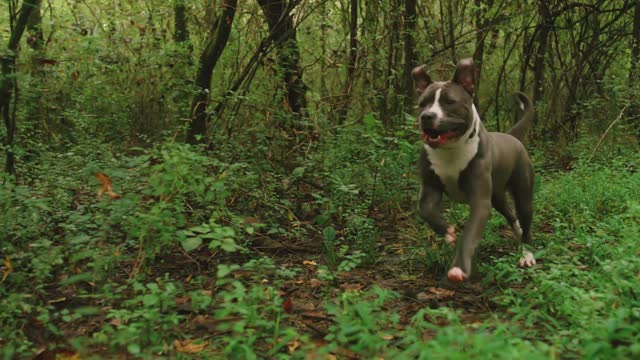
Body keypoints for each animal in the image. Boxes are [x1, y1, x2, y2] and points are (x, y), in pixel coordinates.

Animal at [410, 58, 536, 282]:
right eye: (422, 103)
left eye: (449, 102)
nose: (426, 116)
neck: (451, 150)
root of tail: (512, 137)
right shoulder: (430, 188)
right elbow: (425, 210)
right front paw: (447, 232)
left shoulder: (480, 202)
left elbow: (469, 235)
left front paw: (458, 267)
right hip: (497, 197)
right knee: (511, 215)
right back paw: (518, 232)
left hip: (523, 192)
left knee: (525, 217)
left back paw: (527, 254)